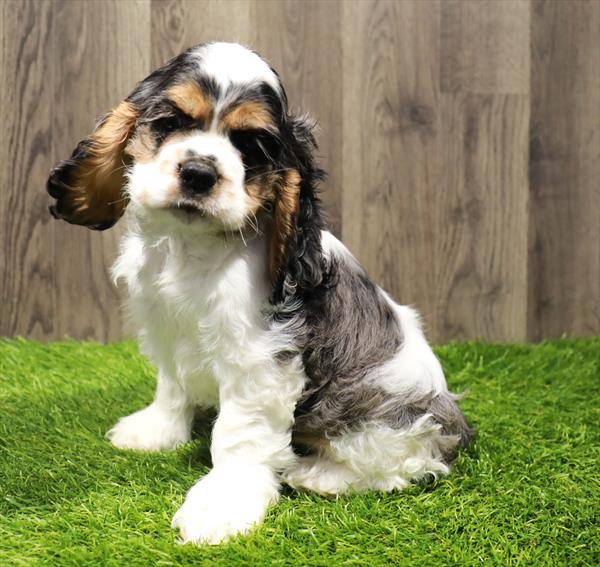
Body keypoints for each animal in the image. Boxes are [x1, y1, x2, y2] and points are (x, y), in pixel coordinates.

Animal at [47, 42, 474, 548]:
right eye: (169, 123)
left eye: (249, 146)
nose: (198, 172)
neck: (190, 247)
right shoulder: (166, 327)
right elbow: (172, 386)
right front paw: (155, 432)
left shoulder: (258, 360)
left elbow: (238, 436)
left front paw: (220, 506)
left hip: (377, 415)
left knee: (404, 465)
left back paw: (318, 475)